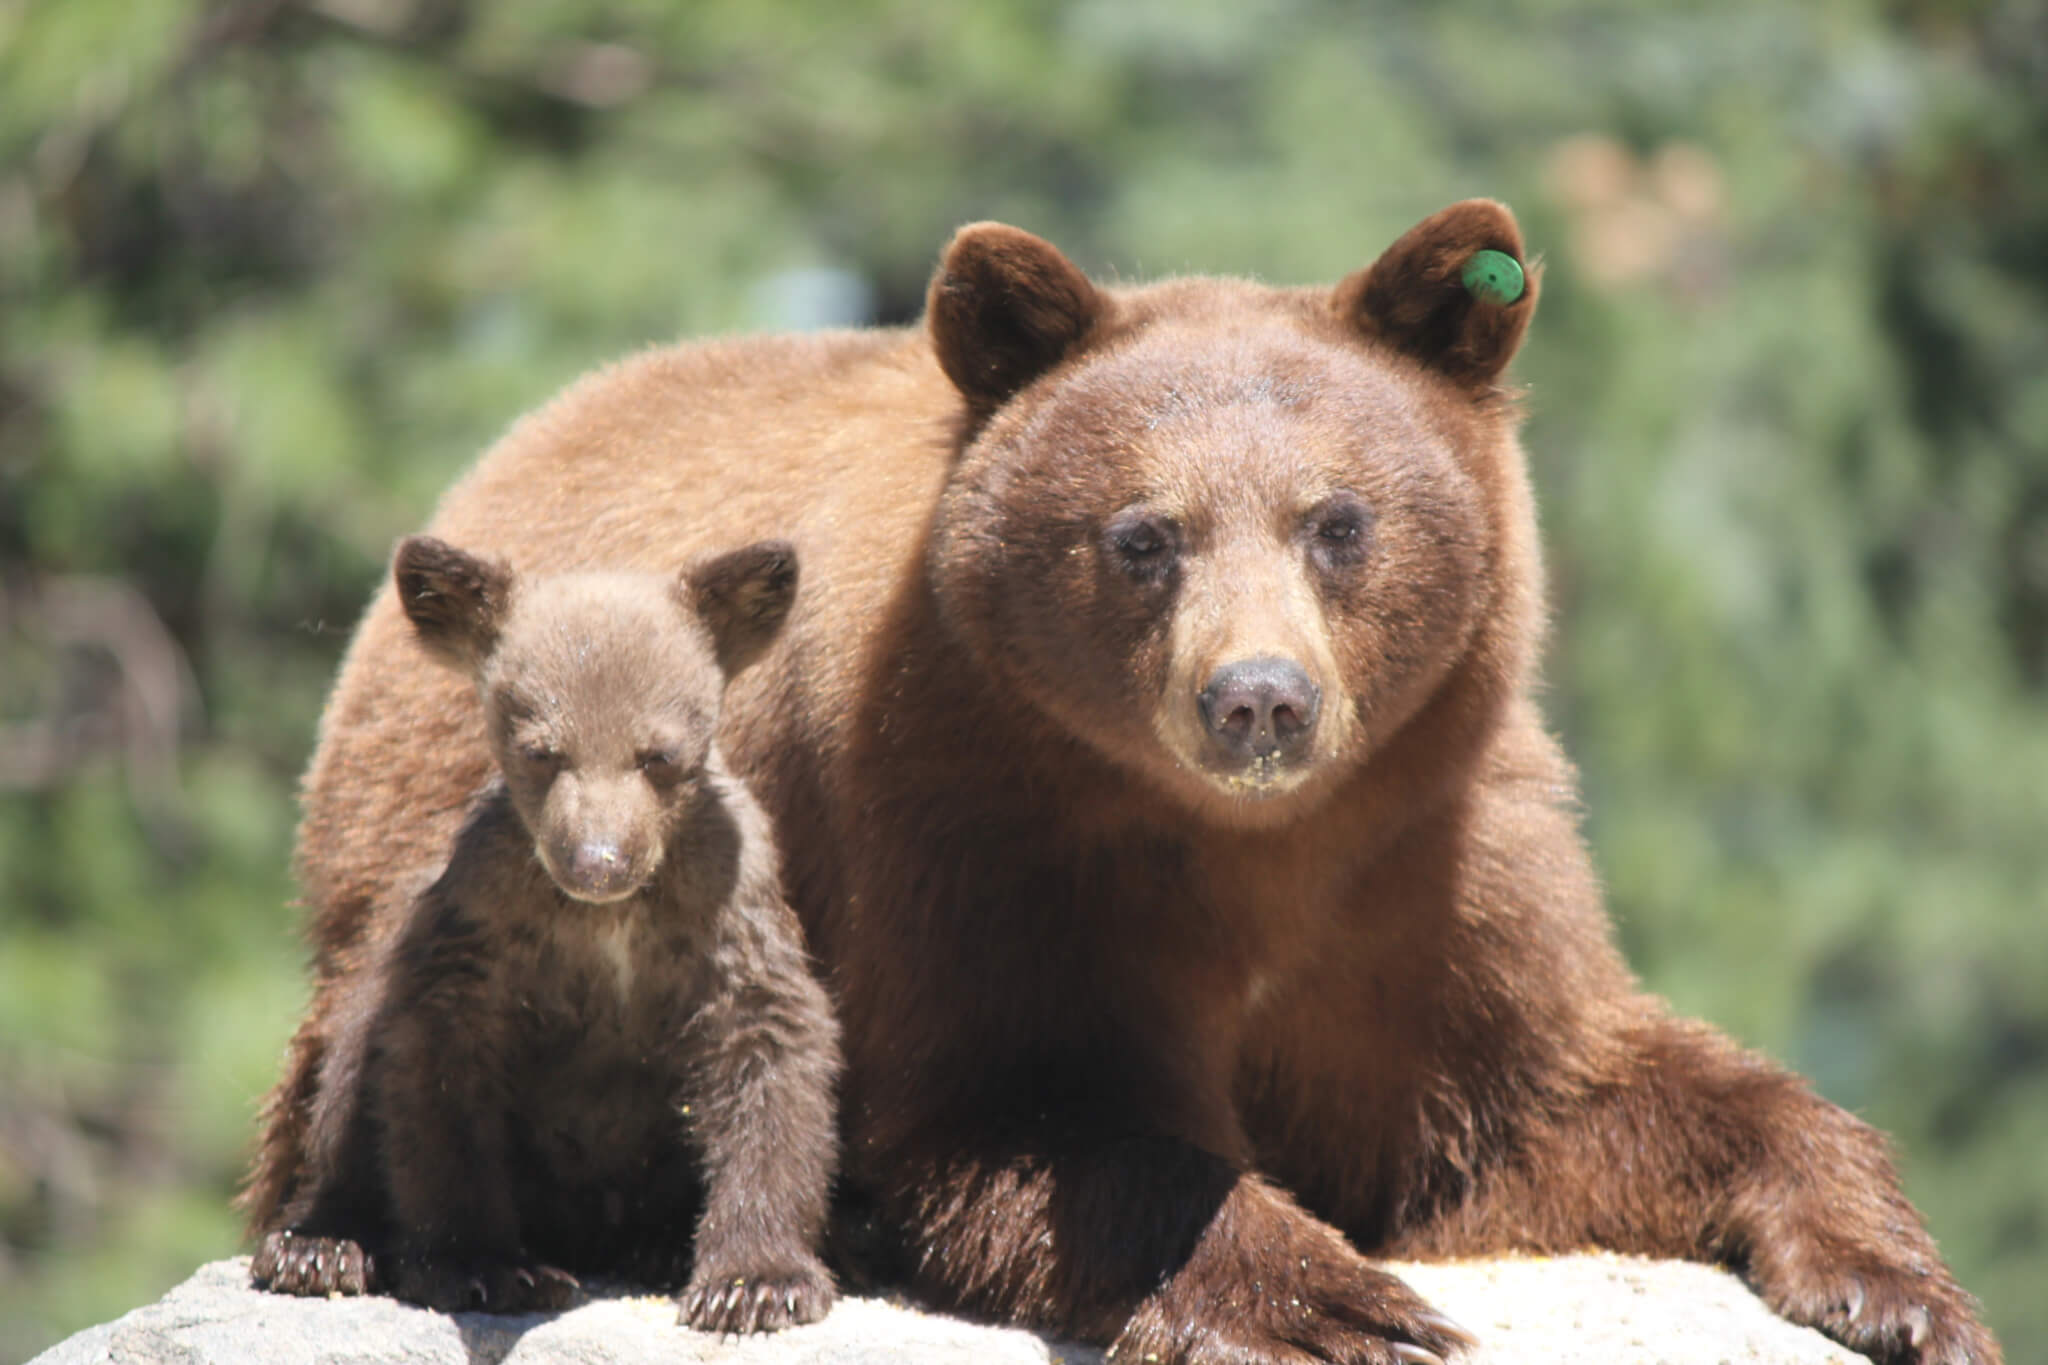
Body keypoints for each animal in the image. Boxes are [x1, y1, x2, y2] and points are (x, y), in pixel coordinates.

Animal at [243, 202, 1998, 1365]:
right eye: (1143, 534)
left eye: (1339, 520)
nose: (1260, 698)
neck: (1250, 844)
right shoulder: (980, 833)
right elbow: (1028, 1111)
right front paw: (1345, 1306)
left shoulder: (1427, 864)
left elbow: (1553, 1101)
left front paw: (1897, 1282)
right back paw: (347, 1235)